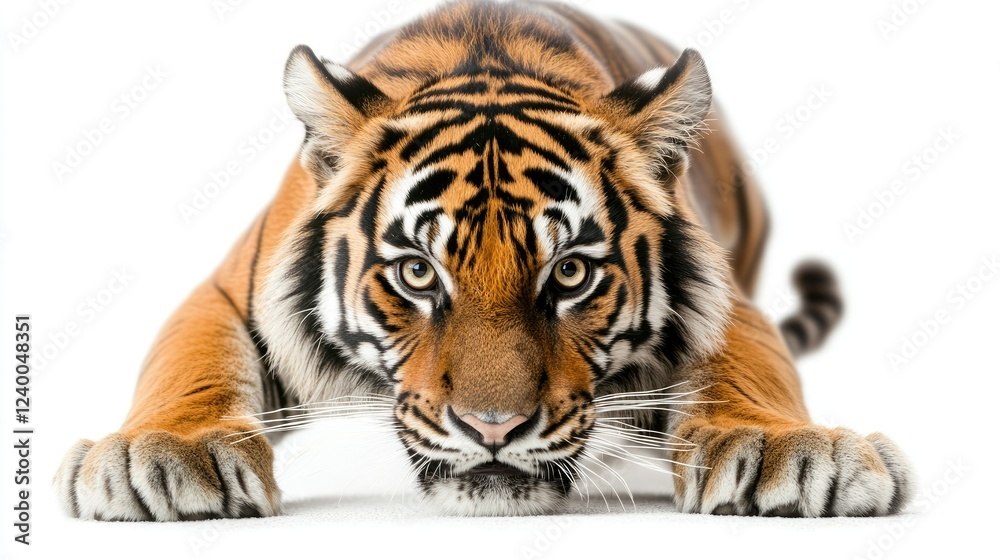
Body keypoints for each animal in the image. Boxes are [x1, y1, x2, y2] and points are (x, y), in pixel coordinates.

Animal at [54, 0, 913, 520]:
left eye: (570, 273)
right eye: (416, 273)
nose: (492, 429)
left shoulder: (724, 299)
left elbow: (749, 367)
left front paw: (788, 450)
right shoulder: (232, 290)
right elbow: (190, 362)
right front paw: (163, 456)